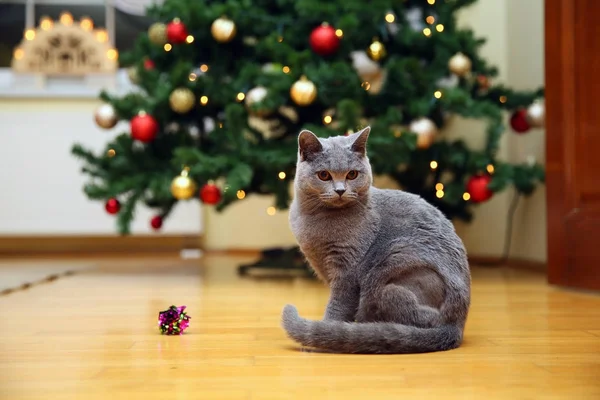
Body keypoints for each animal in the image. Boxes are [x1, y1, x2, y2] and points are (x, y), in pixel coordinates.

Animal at [282, 126, 474, 354]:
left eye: (352, 174)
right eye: (324, 175)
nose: (340, 190)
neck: (315, 220)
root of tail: (457, 326)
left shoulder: (347, 273)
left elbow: (338, 307)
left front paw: (323, 334)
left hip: (389, 276)